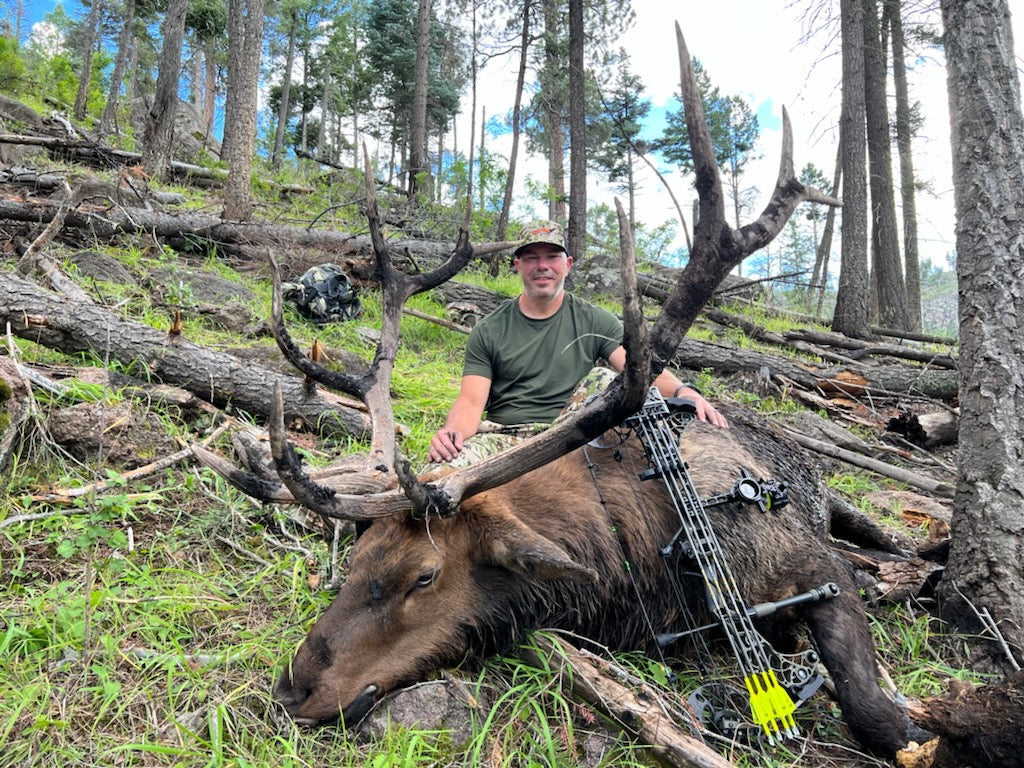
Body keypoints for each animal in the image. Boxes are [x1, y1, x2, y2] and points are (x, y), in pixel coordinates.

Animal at [272, 403, 918, 756]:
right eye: (356, 558)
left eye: (424, 577)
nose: (292, 690)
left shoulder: (811, 565)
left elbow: (869, 703)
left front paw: (910, 730)